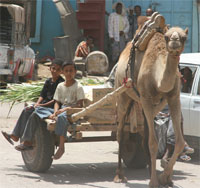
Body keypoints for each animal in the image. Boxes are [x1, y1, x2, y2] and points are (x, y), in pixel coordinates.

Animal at [114, 17, 188, 187]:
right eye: (166, 37)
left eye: (184, 37)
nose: (174, 42)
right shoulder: (146, 97)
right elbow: (153, 144)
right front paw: (154, 181)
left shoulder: (173, 97)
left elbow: (180, 142)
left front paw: (165, 178)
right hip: (123, 93)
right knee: (120, 132)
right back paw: (119, 175)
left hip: (146, 104)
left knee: (145, 134)